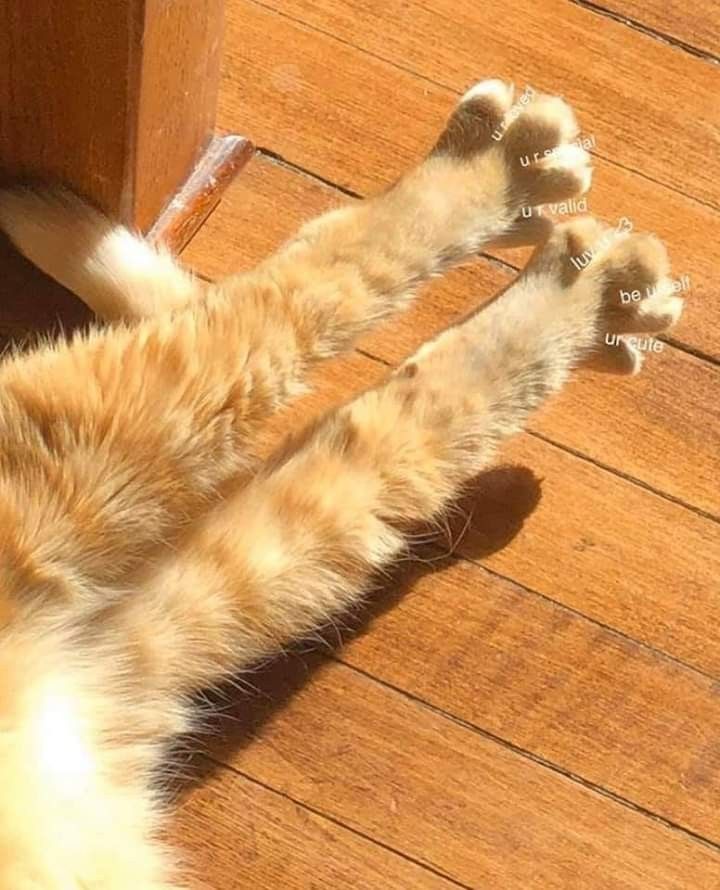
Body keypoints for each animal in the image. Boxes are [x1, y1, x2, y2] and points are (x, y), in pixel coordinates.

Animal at [0, 79, 684, 889]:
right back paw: (535, 208)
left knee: (376, 396)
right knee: (299, 309)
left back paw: (577, 276)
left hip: (168, 564)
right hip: (101, 456)